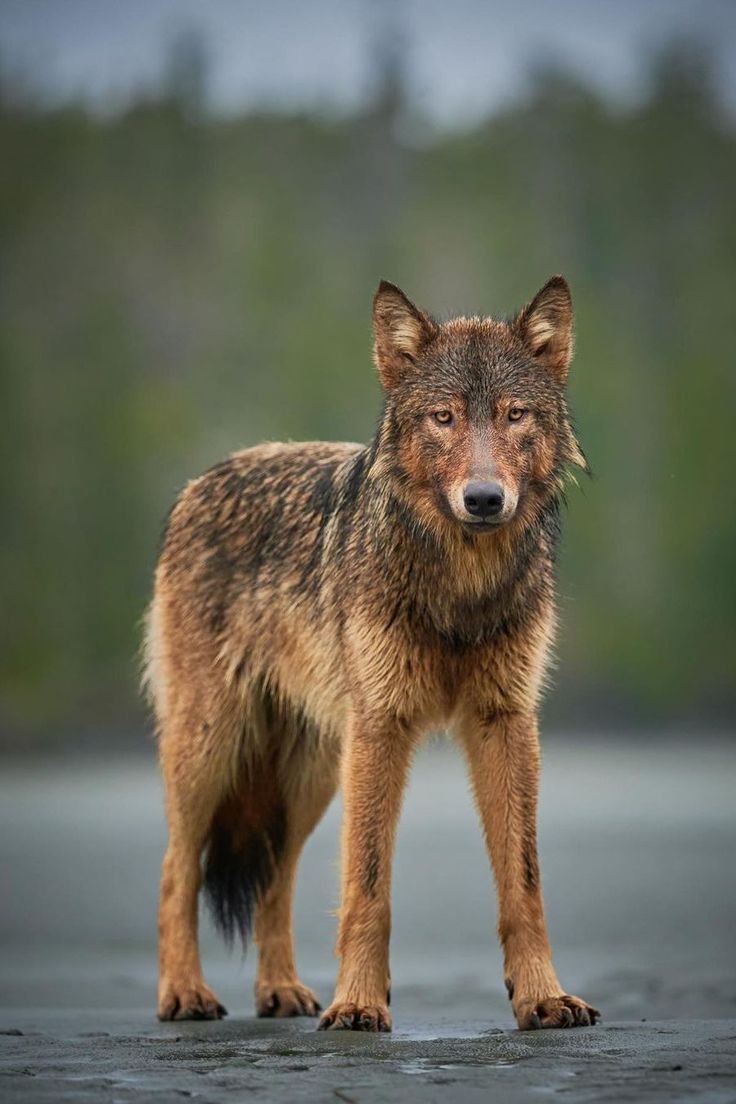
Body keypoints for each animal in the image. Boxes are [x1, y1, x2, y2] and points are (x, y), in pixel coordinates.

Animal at [143, 275, 600, 1031]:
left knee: (275, 878)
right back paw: (184, 994)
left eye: (514, 415)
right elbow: (368, 887)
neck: (458, 587)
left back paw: (281, 991)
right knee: (176, 870)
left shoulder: (505, 723)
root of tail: (201, 481)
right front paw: (359, 1004)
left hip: (309, 779)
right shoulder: (382, 727)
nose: (484, 498)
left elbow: (523, 885)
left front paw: (542, 996)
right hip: (214, 749)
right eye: (443, 418)